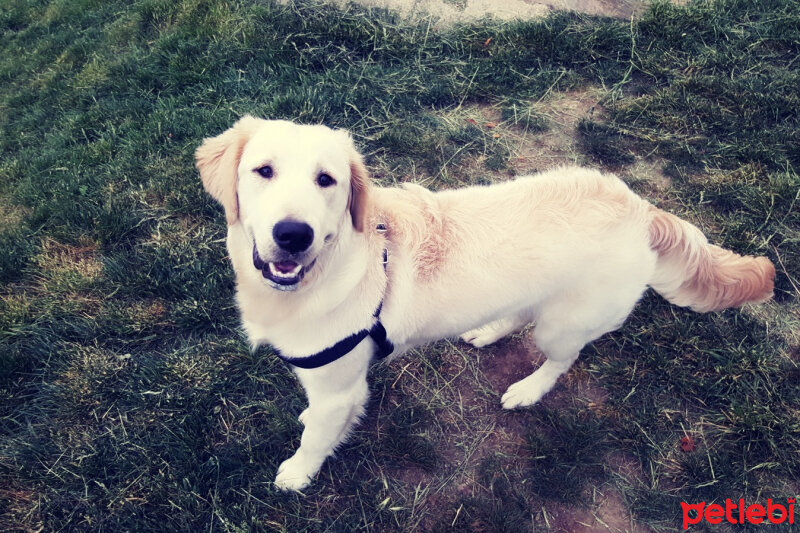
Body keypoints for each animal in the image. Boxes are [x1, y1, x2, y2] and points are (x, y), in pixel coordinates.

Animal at [195, 116, 776, 490]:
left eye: (326, 180)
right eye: (264, 171)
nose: (294, 235)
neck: (328, 269)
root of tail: (643, 209)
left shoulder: (338, 384)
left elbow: (318, 435)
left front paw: (297, 473)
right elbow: (319, 417)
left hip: (564, 325)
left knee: (562, 358)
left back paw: (528, 389)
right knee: (518, 313)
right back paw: (487, 331)